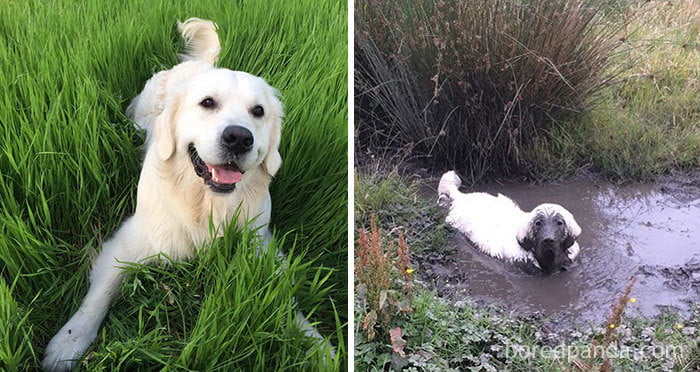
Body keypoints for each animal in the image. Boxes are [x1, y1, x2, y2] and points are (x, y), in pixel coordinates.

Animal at [44, 18, 334, 370]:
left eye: (258, 111)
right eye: (207, 102)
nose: (239, 138)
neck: (205, 204)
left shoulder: (259, 244)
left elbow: (284, 300)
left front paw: (317, 346)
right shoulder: (132, 239)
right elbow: (101, 292)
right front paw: (67, 343)